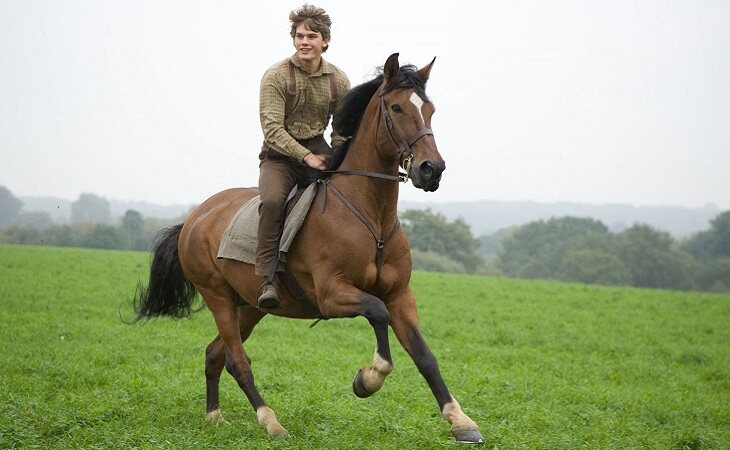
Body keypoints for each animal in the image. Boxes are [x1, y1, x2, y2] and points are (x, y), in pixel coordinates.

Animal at [132, 52, 484, 442]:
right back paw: (271, 422)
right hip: (218, 297)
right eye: (396, 107)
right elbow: (377, 313)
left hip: (250, 306)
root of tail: (195, 217)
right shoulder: (332, 294)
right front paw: (368, 378)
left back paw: (214, 417)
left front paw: (461, 421)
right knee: (237, 361)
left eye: (430, 110)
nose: (431, 170)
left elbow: (425, 356)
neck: (370, 217)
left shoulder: (400, 295)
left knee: (215, 354)